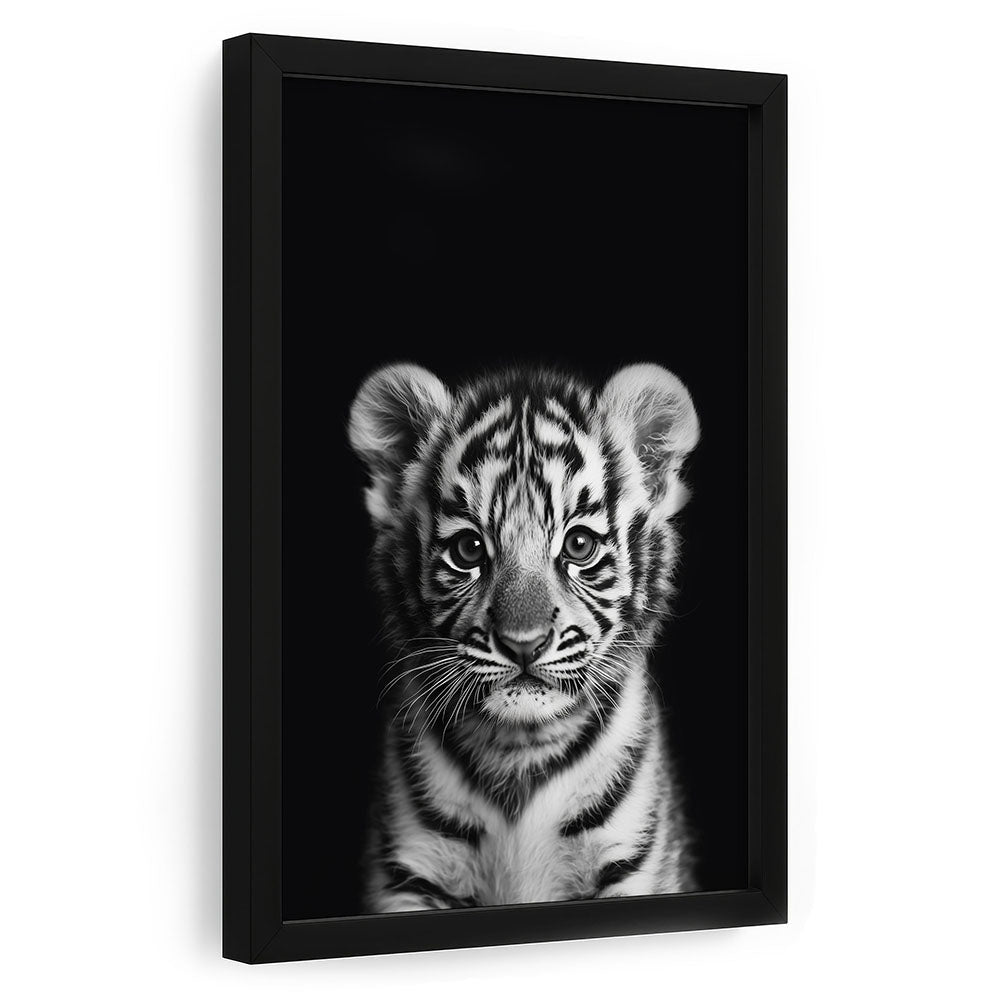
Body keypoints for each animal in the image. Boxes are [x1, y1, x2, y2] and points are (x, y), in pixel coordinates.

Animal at [348, 362, 700, 912]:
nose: (523, 644)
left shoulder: (633, 861)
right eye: (469, 550)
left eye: (579, 545)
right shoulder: (413, 873)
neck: (519, 749)